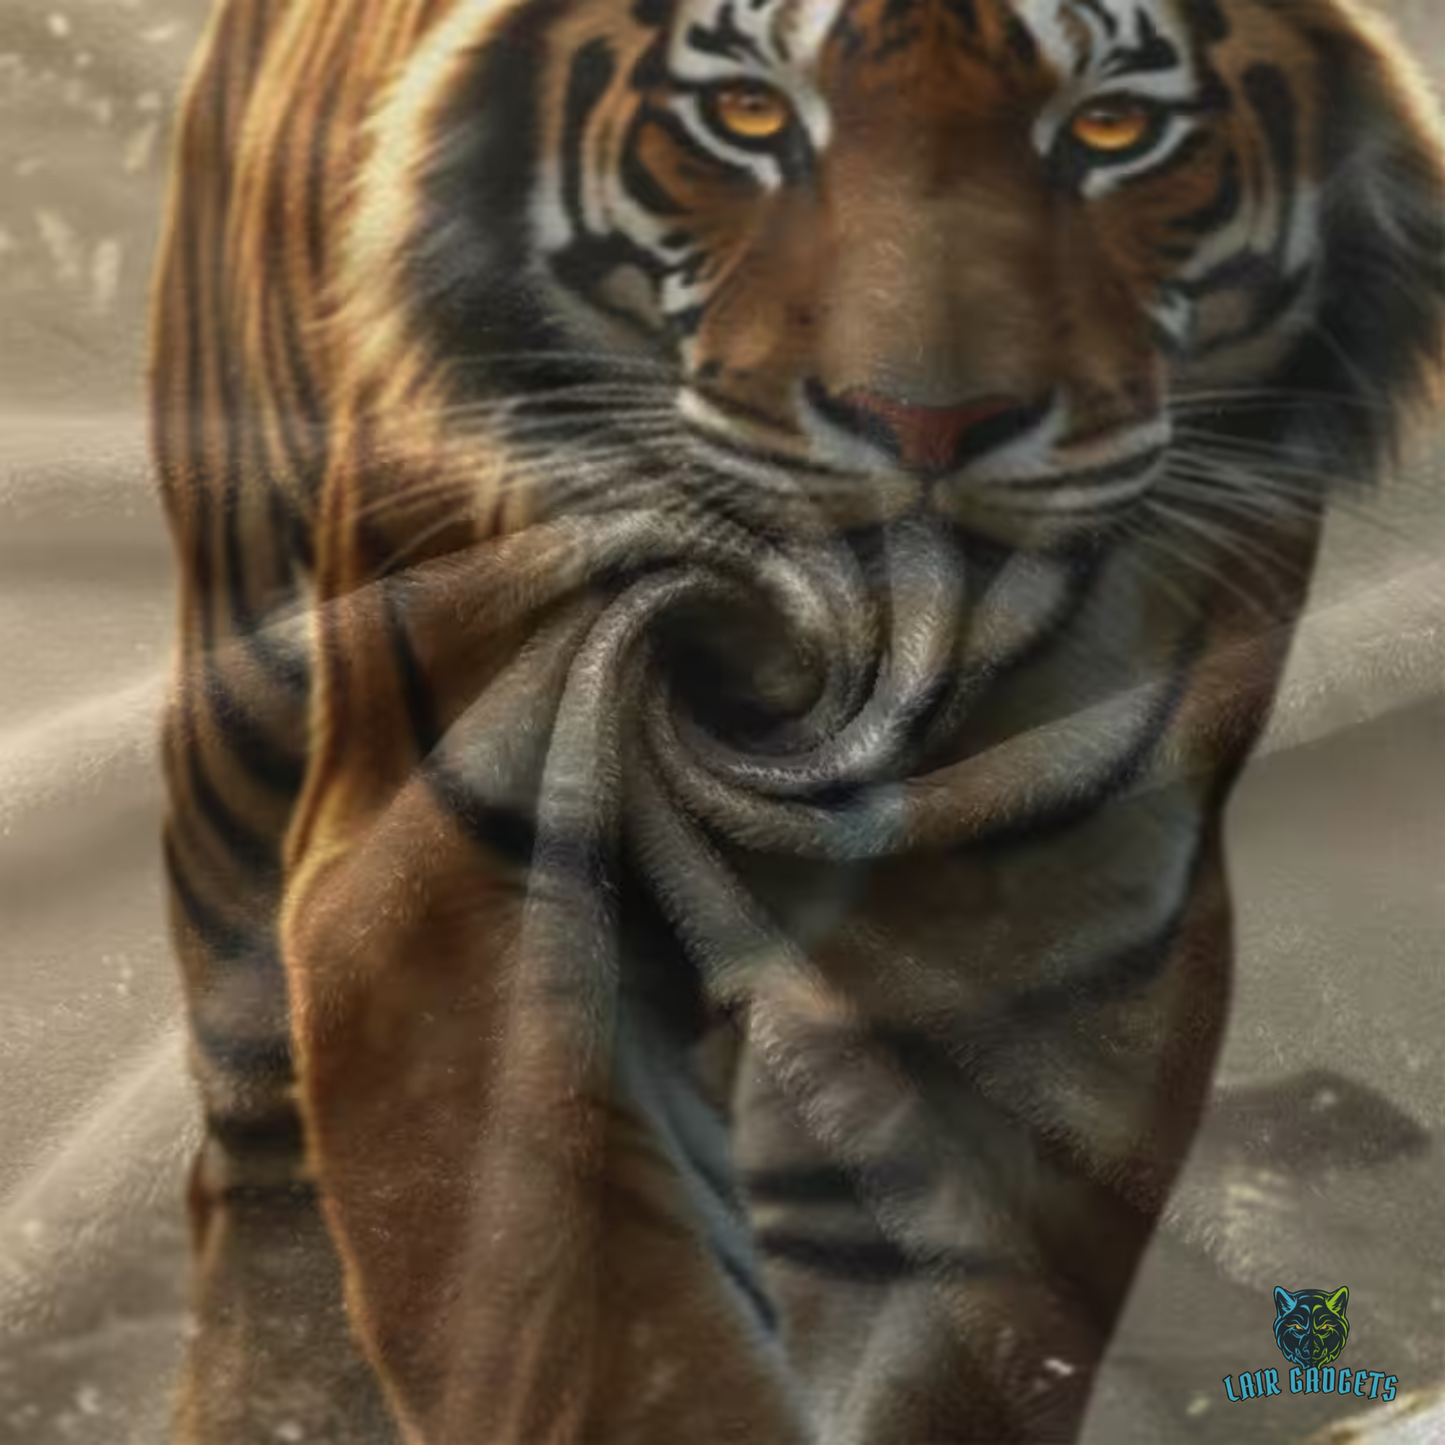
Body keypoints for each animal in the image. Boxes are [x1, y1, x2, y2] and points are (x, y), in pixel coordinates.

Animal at [149, 0, 1445, 1440]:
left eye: (1111, 128)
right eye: (749, 115)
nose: (926, 425)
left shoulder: (1056, 944)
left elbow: (954, 1334)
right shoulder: (450, 872)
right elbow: (607, 1332)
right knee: (251, 1135)